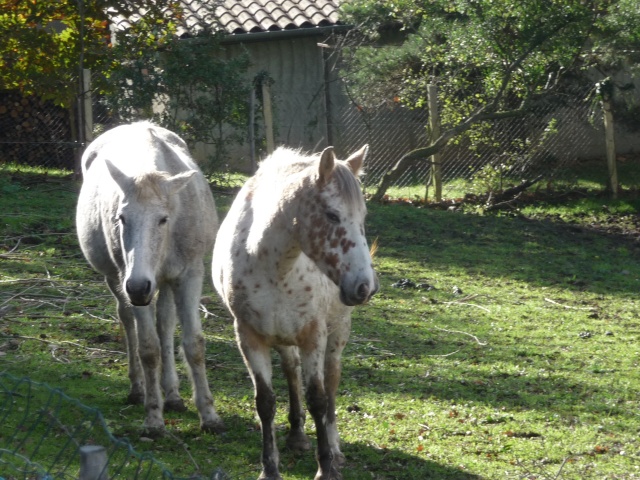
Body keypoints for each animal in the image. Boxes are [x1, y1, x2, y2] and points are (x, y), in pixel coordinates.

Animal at [76, 122, 225, 436]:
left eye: (163, 219)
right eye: (121, 218)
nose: (138, 287)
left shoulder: (189, 275)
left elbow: (193, 344)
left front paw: (209, 415)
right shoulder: (129, 281)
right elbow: (148, 348)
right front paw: (154, 419)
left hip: (164, 282)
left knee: (165, 324)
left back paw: (174, 396)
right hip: (117, 280)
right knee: (126, 320)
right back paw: (138, 390)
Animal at [212, 144, 378, 478]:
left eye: (362, 217)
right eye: (332, 215)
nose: (365, 286)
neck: (271, 264)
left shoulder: (313, 335)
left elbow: (318, 399)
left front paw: (326, 467)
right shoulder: (249, 337)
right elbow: (265, 402)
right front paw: (269, 468)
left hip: (336, 335)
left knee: (331, 383)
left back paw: (335, 447)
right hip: (283, 337)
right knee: (291, 371)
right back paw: (297, 435)